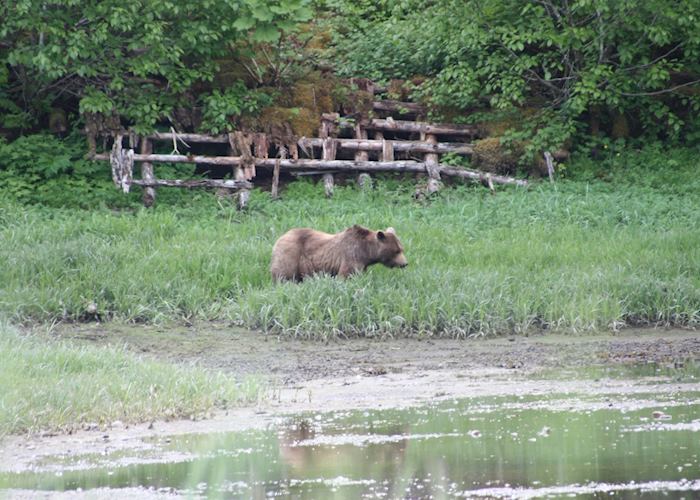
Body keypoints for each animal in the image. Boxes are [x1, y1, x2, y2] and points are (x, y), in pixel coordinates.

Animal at [270, 226, 408, 282]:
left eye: (402, 248)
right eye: (396, 251)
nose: (405, 263)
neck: (367, 252)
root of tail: (280, 238)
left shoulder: (362, 263)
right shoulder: (352, 255)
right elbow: (347, 274)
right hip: (290, 253)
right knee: (285, 274)